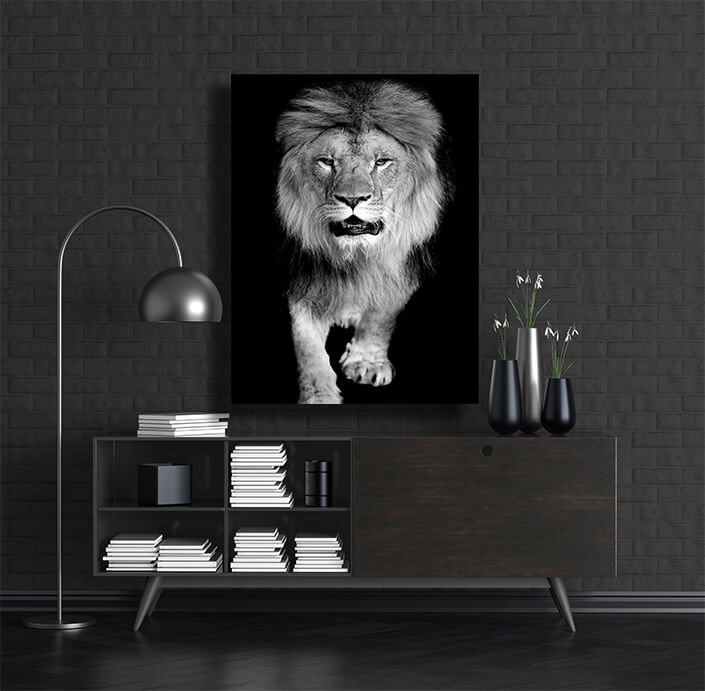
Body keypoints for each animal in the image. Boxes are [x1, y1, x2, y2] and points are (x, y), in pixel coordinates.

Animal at [275, 80, 451, 404]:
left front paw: (367, 362)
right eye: (327, 162)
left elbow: (381, 315)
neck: (357, 254)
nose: (353, 199)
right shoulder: (300, 272)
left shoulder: (401, 266)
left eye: (381, 162)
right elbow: (306, 344)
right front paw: (318, 395)